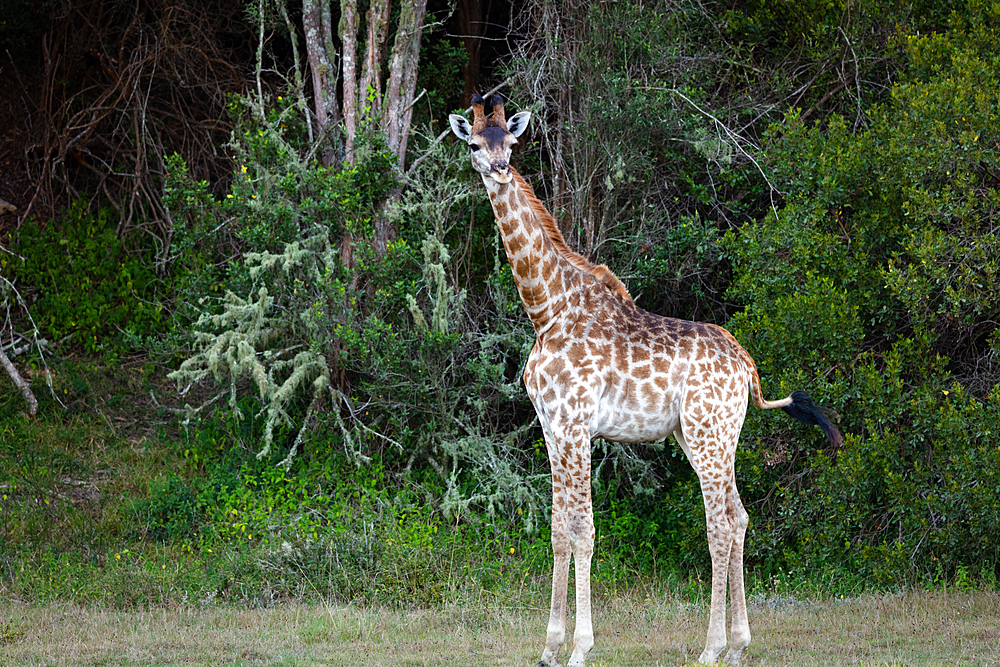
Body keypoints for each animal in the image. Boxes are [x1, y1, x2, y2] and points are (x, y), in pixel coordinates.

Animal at [450, 94, 840, 667]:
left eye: (512, 143)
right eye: (476, 144)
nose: (499, 169)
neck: (546, 310)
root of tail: (748, 368)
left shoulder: (576, 426)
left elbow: (584, 530)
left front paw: (580, 648)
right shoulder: (552, 427)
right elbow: (557, 530)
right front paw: (548, 647)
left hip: (707, 432)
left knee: (720, 523)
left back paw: (711, 648)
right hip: (706, 436)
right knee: (740, 516)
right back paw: (739, 646)